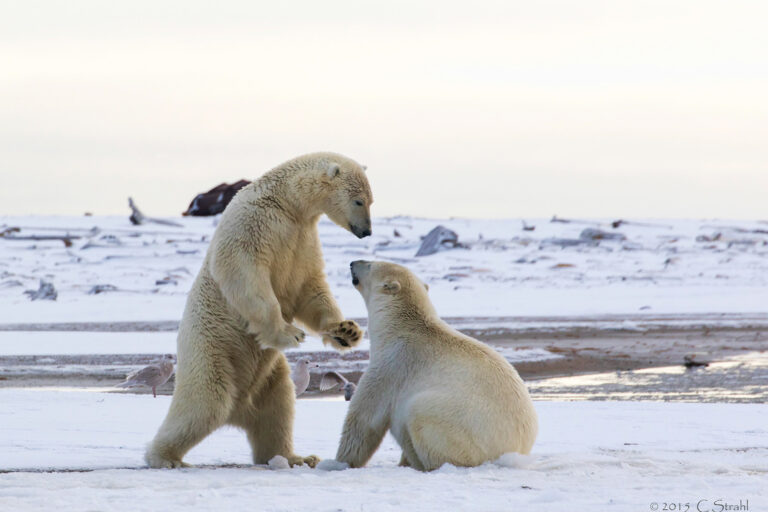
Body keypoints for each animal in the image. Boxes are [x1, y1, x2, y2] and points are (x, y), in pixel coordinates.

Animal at [146, 151, 374, 468]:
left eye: (370, 199)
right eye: (358, 201)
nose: (367, 231)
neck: (287, 203)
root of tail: (238, 411)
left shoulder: (303, 236)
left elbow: (309, 287)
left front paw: (346, 332)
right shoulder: (254, 224)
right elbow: (247, 274)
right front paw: (290, 333)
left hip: (270, 376)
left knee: (278, 409)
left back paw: (295, 457)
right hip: (211, 352)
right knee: (204, 404)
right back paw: (165, 457)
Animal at [330, 262, 540, 470]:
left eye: (370, 264)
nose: (352, 263)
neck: (398, 327)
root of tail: (514, 452)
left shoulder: (393, 364)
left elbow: (364, 420)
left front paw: (337, 463)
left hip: (461, 426)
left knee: (419, 413)